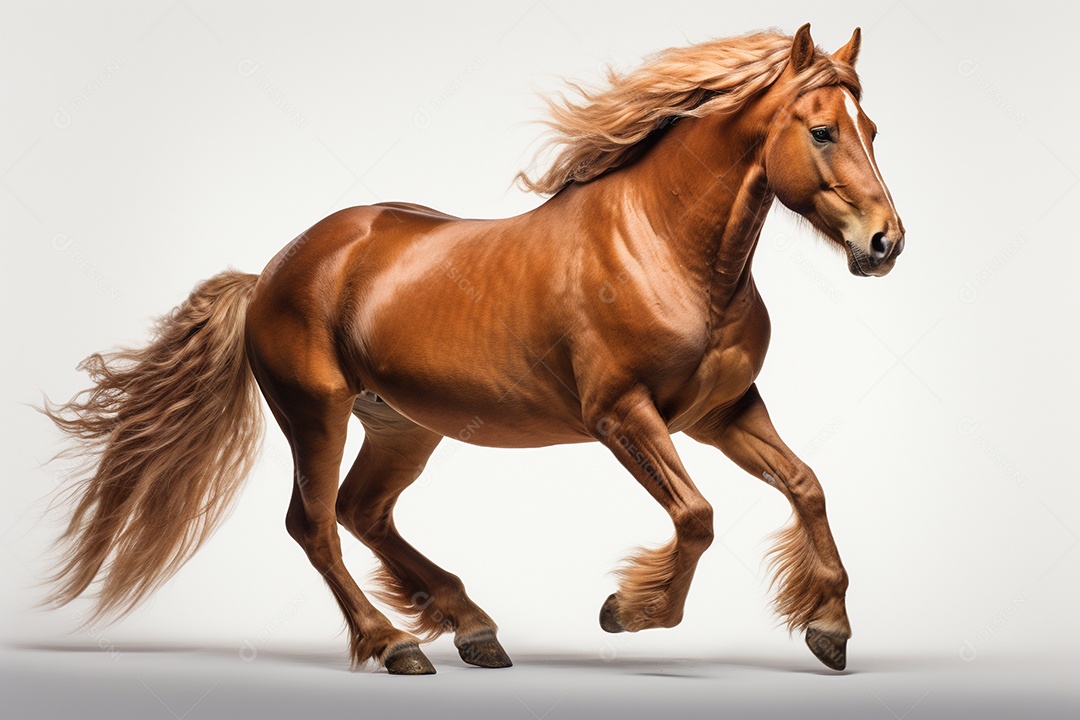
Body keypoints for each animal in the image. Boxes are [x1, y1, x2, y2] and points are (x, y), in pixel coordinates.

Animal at [42, 24, 904, 675]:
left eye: (871, 130)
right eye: (821, 131)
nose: (885, 244)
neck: (664, 249)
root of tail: (273, 270)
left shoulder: (722, 413)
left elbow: (807, 486)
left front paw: (829, 628)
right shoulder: (621, 414)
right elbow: (696, 515)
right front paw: (628, 611)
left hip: (401, 425)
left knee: (362, 511)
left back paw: (472, 627)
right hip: (315, 413)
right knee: (314, 524)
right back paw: (394, 646)